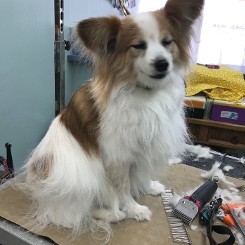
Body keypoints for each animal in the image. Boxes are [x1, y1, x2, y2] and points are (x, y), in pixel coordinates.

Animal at [22, 0, 204, 235]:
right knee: (82, 213)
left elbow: (143, 172)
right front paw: (134, 209)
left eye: (167, 42)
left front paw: (149, 186)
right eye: (138, 46)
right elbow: (123, 188)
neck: (145, 92)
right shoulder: (119, 157)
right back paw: (110, 214)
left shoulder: (144, 146)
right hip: (86, 179)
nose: (162, 63)